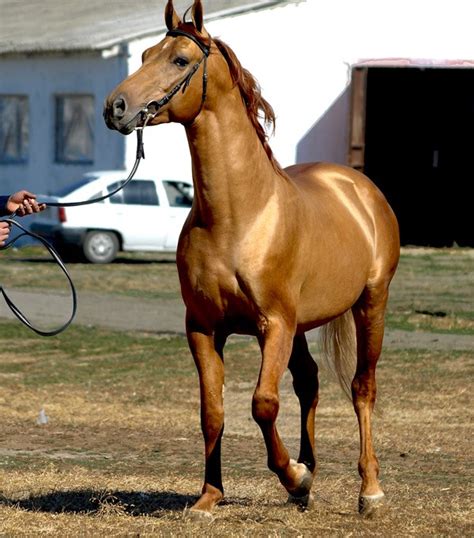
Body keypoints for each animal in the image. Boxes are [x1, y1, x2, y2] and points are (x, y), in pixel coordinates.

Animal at [103, 0, 400, 516]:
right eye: (143, 55)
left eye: (179, 60)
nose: (115, 108)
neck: (238, 216)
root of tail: (359, 187)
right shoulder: (203, 327)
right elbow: (213, 411)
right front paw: (210, 497)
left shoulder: (273, 324)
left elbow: (263, 404)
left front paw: (293, 476)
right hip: (303, 325)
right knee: (310, 383)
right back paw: (308, 479)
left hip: (370, 304)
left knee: (362, 388)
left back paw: (369, 491)